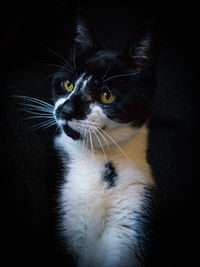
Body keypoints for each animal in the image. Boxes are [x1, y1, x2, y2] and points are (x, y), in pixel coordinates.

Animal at [17, 13, 158, 267]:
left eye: (106, 95)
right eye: (68, 84)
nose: (65, 110)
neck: (102, 162)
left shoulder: (135, 208)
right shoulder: (63, 204)